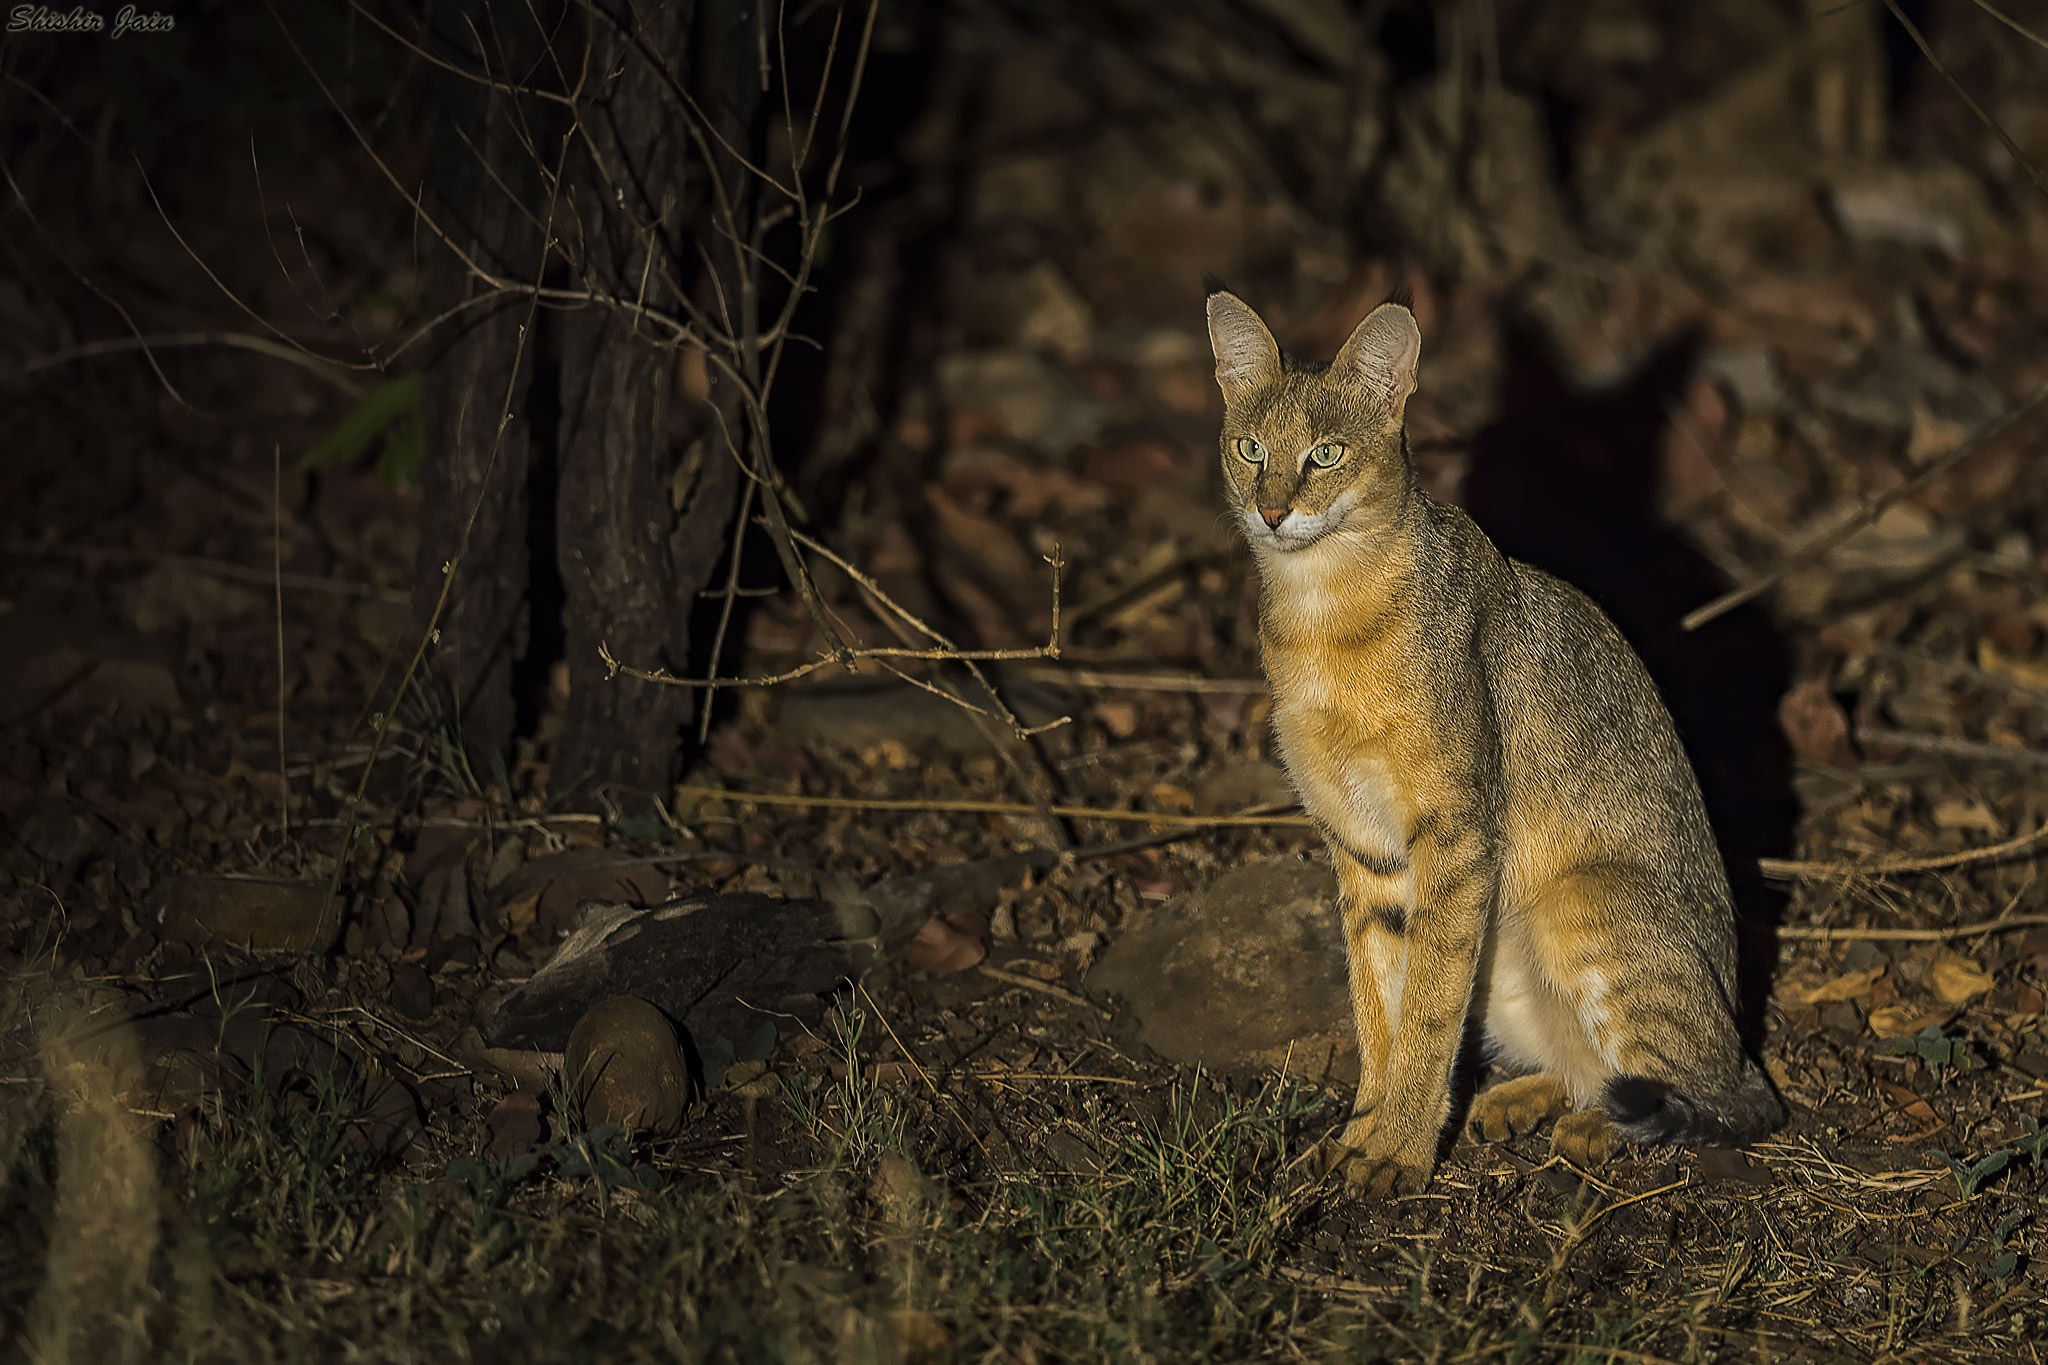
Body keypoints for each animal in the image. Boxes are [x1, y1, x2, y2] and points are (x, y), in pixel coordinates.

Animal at [1204, 288, 1785, 1195]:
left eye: (1327, 454)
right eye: (1250, 447)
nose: (1271, 510)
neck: (1321, 617)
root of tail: (1746, 1047)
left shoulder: (1455, 836)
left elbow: (1427, 1012)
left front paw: (1397, 1152)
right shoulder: (1363, 847)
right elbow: (1380, 1009)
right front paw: (1363, 1131)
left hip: (1578, 903)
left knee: (1711, 1097)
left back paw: (1596, 1126)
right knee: (1597, 1070)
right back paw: (1518, 1100)